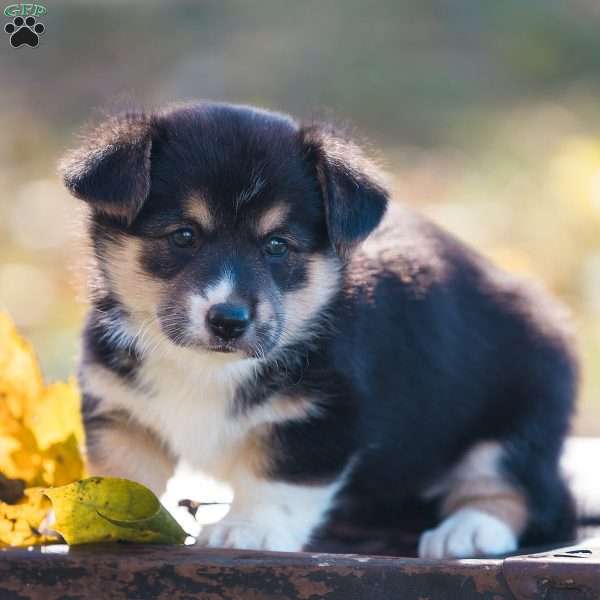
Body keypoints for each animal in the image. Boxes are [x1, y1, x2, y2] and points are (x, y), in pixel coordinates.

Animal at [61, 102, 576, 556]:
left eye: (277, 245)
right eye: (184, 235)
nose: (229, 321)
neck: (206, 368)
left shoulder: (322, 418)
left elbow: (278, 479)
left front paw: (247, 530)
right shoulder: (120, 409)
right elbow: (125, 473)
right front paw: (111, 519)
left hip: (520, 418)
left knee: (519, 487)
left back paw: (468, 531)